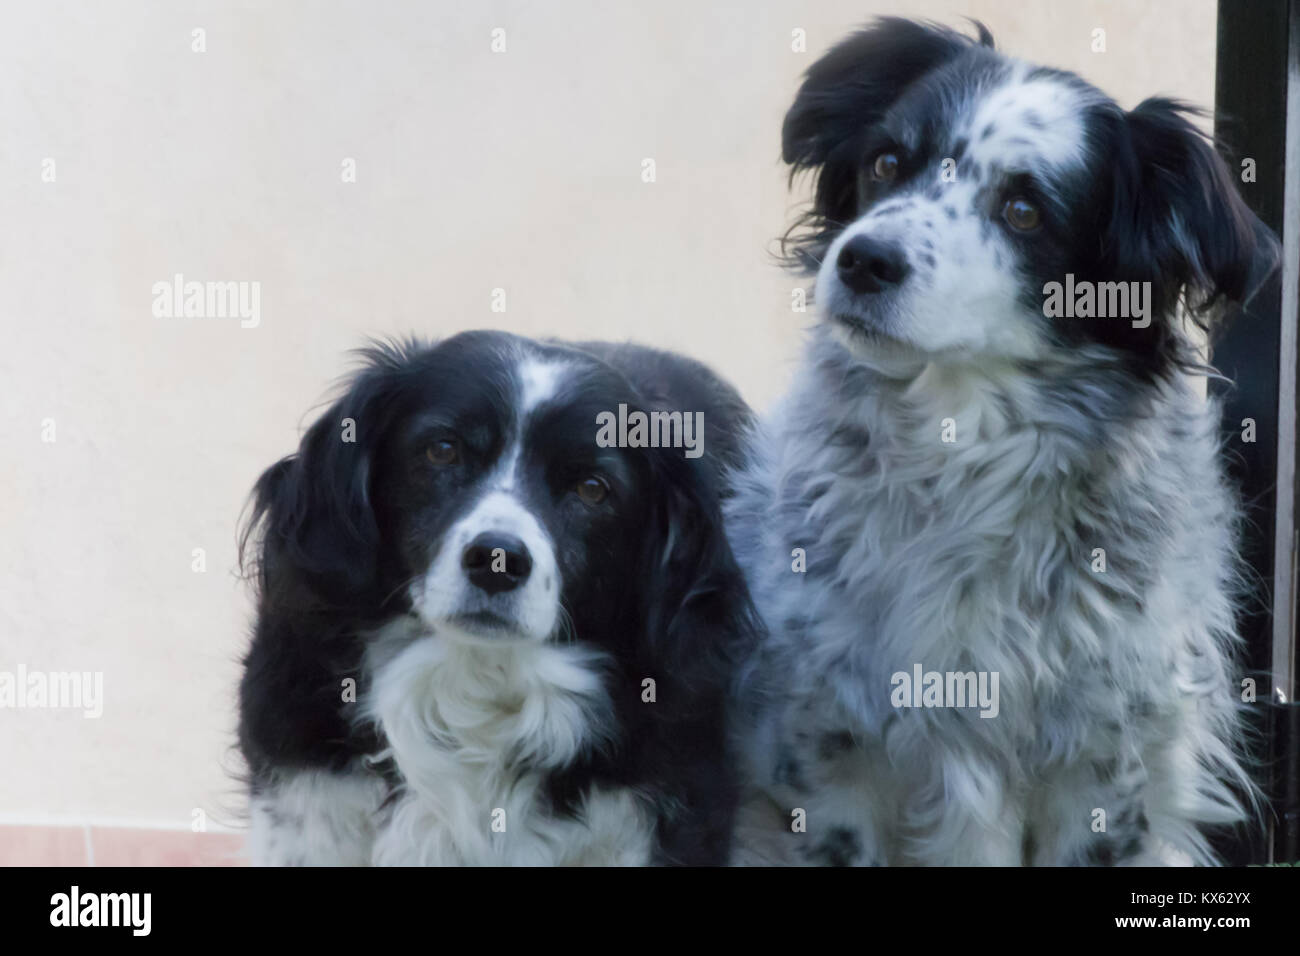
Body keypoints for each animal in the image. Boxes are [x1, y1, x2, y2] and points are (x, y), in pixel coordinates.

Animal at [728, 16, 1274, 868]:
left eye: (1024, 210)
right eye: (887, 163)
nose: (863, 261)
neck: (960, 459)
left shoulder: (1100, 761)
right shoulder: (832, 749)